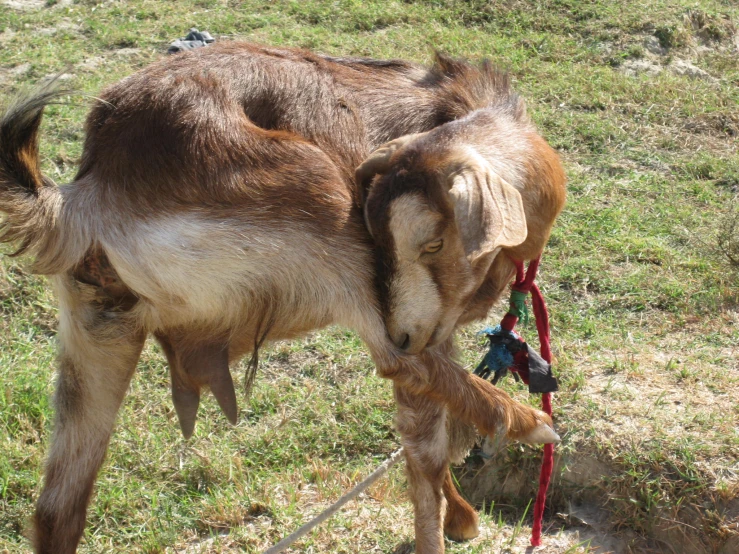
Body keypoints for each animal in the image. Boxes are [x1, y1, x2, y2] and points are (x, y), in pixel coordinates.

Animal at [0, 44, 564, 552]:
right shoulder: (411, 311)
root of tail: (95, 192)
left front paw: (461, 515)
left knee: (57, 512)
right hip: (319, 200)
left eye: (430, 244)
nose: (404, 331)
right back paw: (528, 422)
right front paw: (457, 515)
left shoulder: (432, 323)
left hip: (98, 328)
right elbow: (424, 443)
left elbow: (423, 430)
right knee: (398, 364)